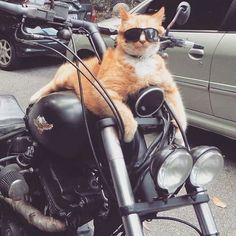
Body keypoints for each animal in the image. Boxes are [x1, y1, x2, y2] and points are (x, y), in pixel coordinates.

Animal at [30, 7, 187, 143]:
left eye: (151, 33)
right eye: (133, 32)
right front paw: (129, 133)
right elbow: (124, 113)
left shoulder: (169, 88)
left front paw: (180, 133)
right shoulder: (105, 90)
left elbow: (180, 112)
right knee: (50, 85)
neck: (140, 60)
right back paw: (34, 97)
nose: (142, 40)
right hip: (62, 79)